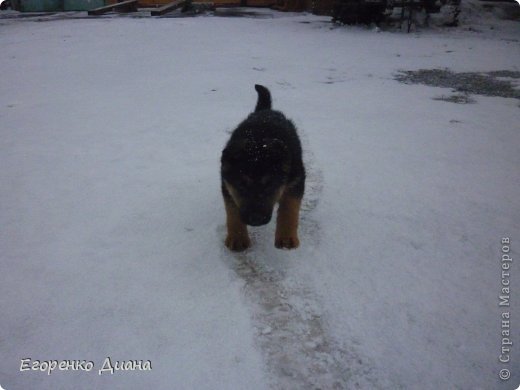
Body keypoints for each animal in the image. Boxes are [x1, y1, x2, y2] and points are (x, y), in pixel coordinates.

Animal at [220, 84, 304, 251]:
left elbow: (289, 207)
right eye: (241, 185)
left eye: (270, 185)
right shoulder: (226, 184)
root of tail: (265, 111)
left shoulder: (297, 178)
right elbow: (232, 211)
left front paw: (286, 237)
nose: (256, 220)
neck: (258, 142)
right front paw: (238, 238)